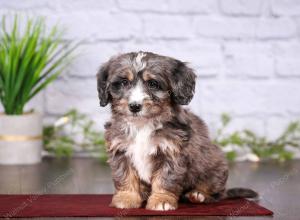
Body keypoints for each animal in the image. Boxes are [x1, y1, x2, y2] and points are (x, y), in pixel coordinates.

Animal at [96, 51, 258, 211]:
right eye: (123, 82)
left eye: (153, 83)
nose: (134, 106)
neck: (143, 125)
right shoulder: (121, 150)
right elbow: (125, 176)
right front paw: (127, 197)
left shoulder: (171, 152)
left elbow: (165, 179)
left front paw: (162, 200)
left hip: (216, 168)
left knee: (216, 193)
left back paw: (198, 195)